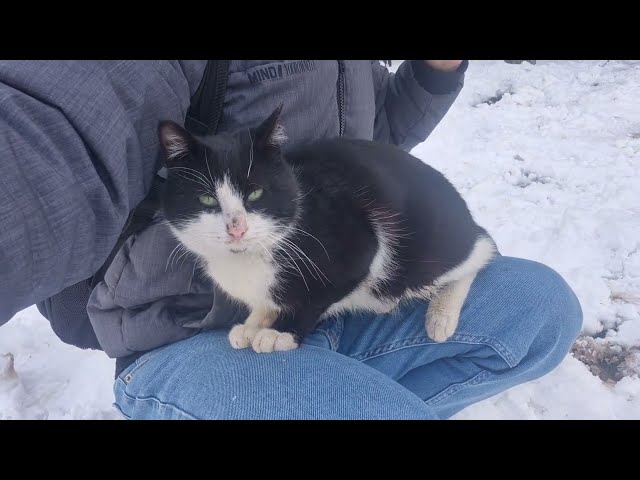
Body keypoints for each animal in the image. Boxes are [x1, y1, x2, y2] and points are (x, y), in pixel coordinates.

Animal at [158, 105, 498, 352]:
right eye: (206, 198)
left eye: (255, 193)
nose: (236, 229)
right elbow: (268, 300)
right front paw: (255, 322)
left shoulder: (359, 247)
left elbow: (318, 296)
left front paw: (280, 333)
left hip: (429, 248)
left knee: (482, 248)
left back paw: (441, 315)